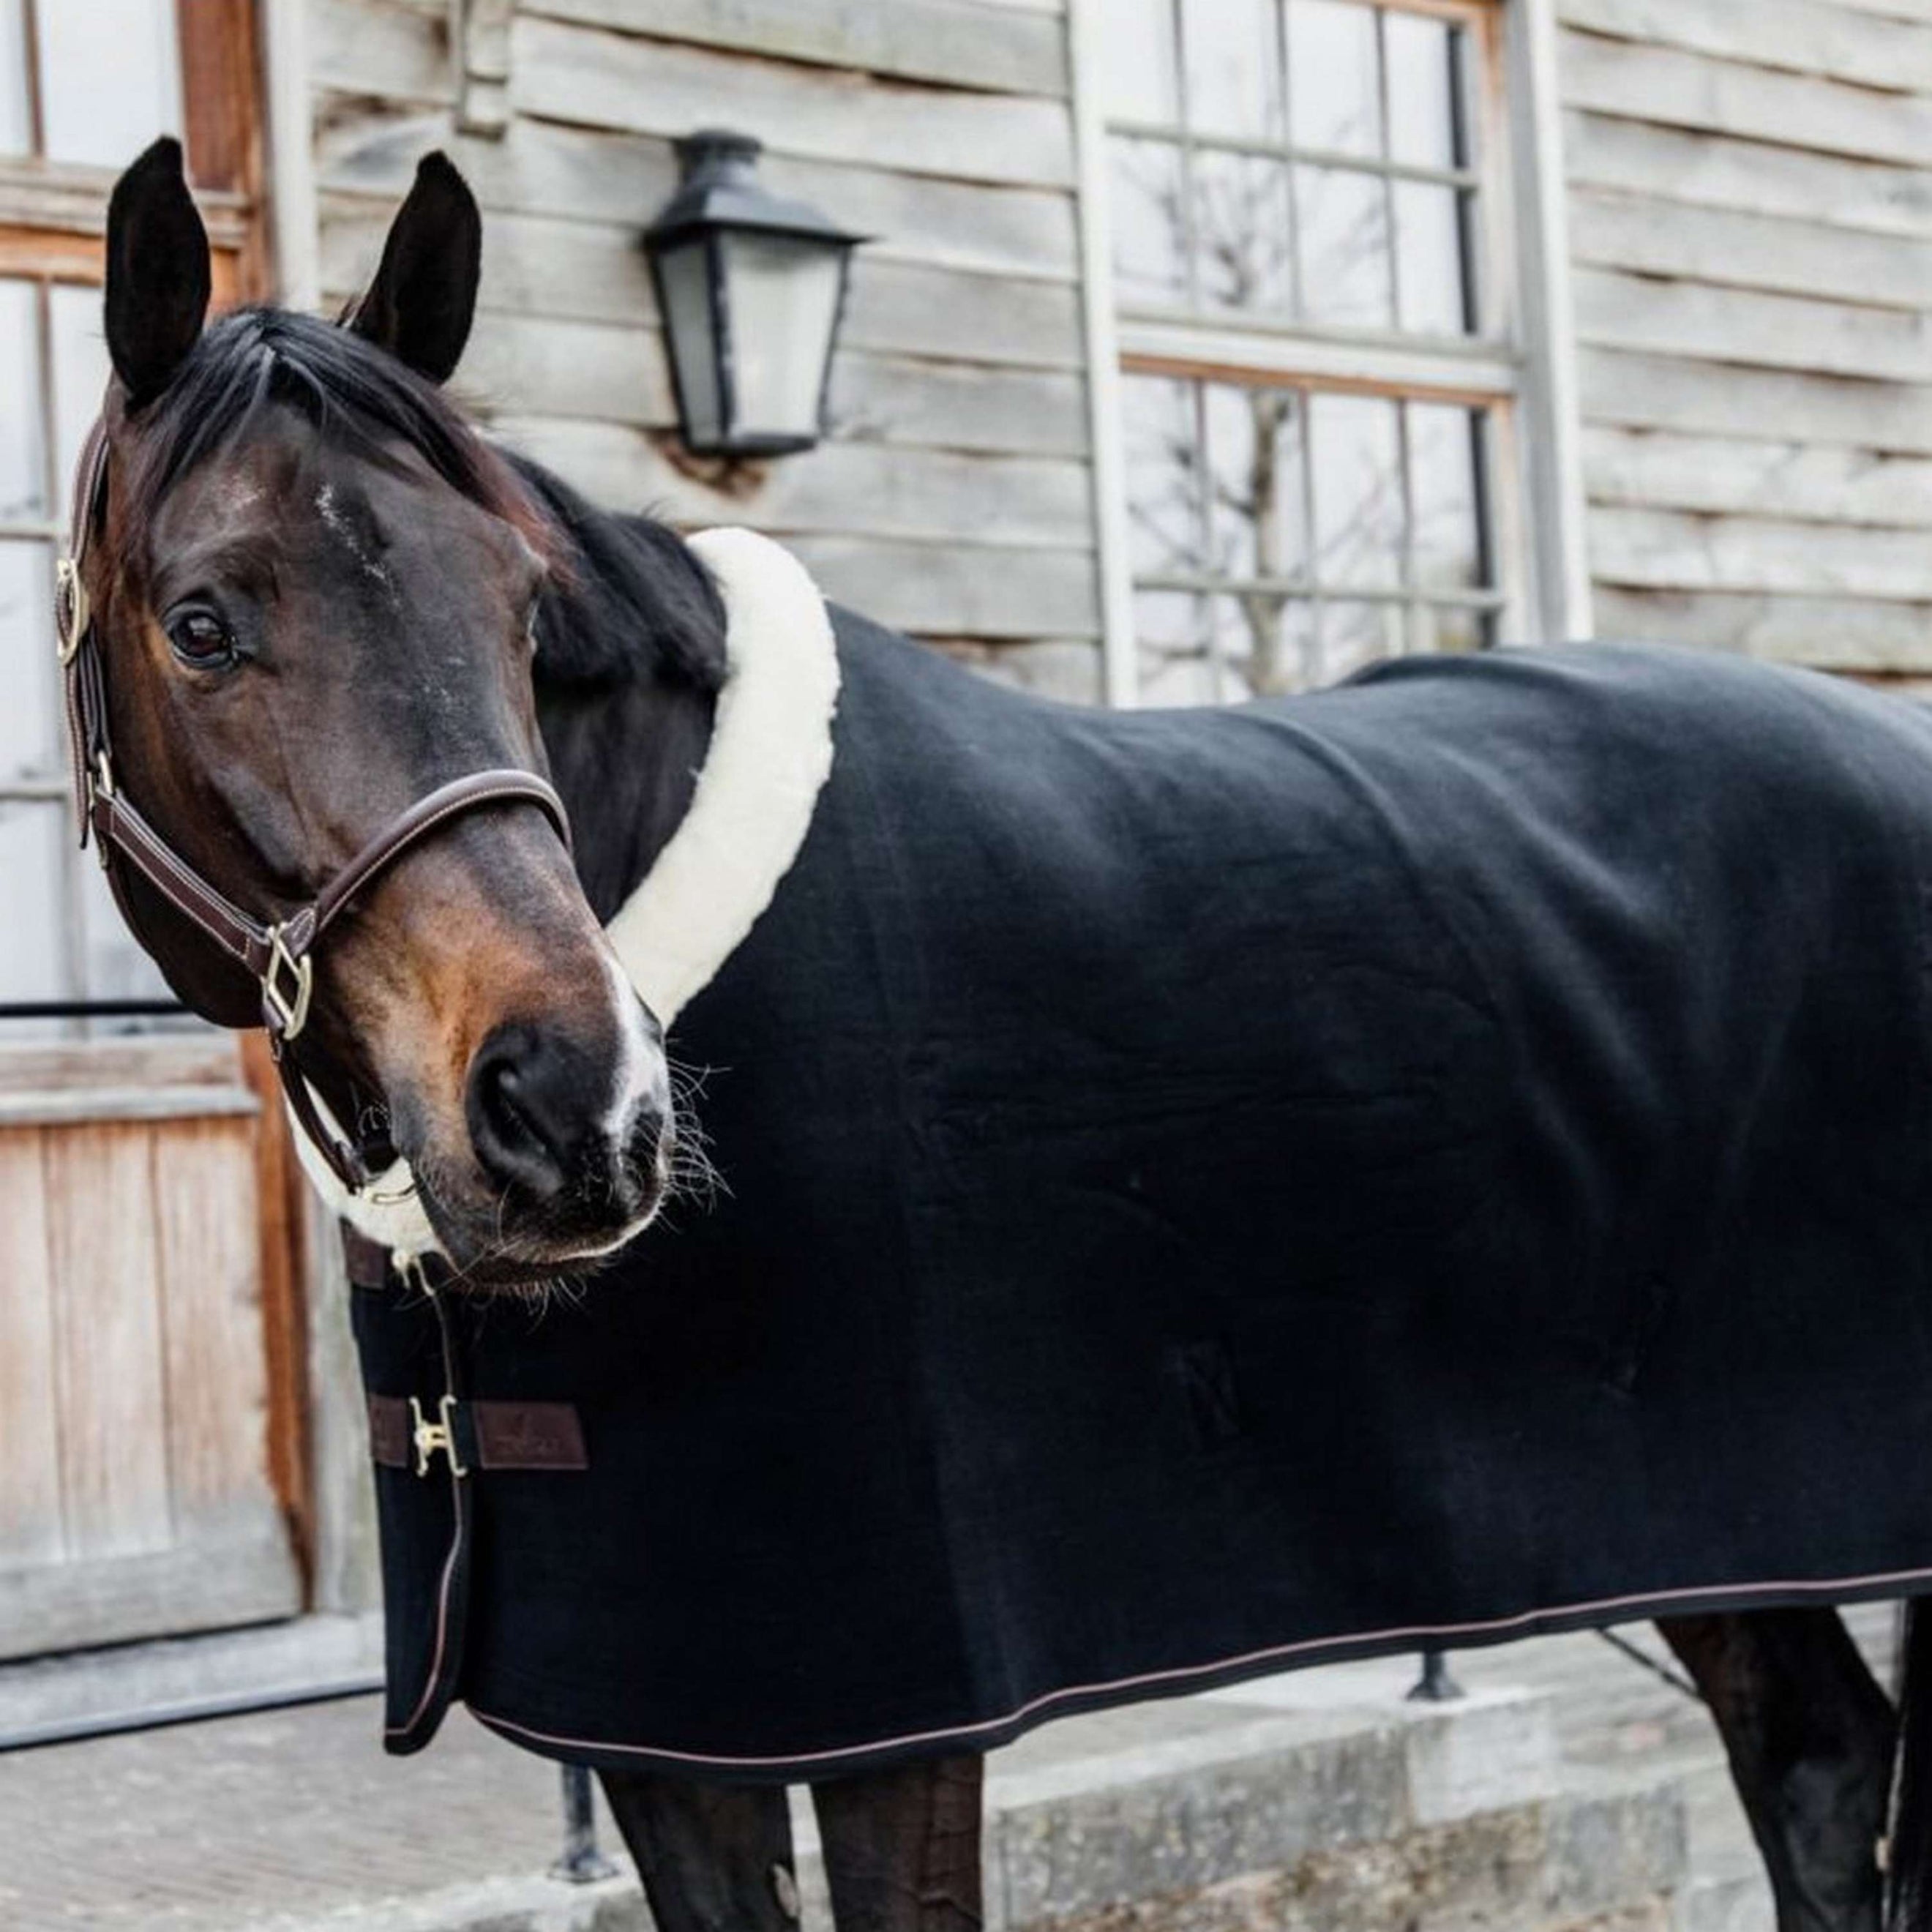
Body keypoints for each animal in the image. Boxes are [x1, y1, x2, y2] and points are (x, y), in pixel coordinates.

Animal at [75, 136, 1932, 1932]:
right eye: (202, 624)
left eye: (530, 613)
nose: (579, 1114)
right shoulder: (667, 1726)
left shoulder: (900, 1724)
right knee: (1821, 1767)